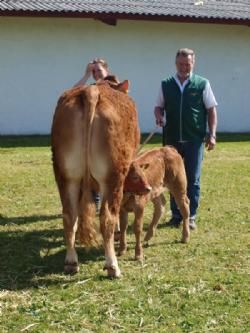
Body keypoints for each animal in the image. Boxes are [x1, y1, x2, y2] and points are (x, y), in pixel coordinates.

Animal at [50, 78, 150, 278]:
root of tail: (92, 91)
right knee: (107, 218)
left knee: (69, 215)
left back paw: (71, 262)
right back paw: (112, 266)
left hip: (66, 175)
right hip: (112, 177)